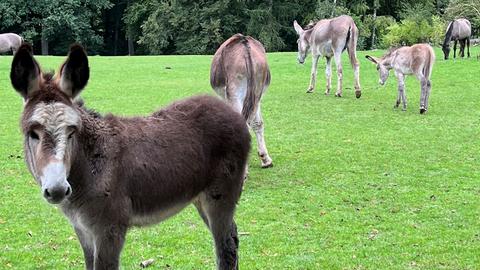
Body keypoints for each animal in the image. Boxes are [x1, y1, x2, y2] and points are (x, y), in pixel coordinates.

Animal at [10, 43, 251, 268]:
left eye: (72, 132)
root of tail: (231, 112)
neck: (89, 167)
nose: (58, 189)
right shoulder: (82, 229)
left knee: (225, 248)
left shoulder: (109, 229)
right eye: (32, 133)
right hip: (200, 198)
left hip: (220, 195)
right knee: (233, 238)